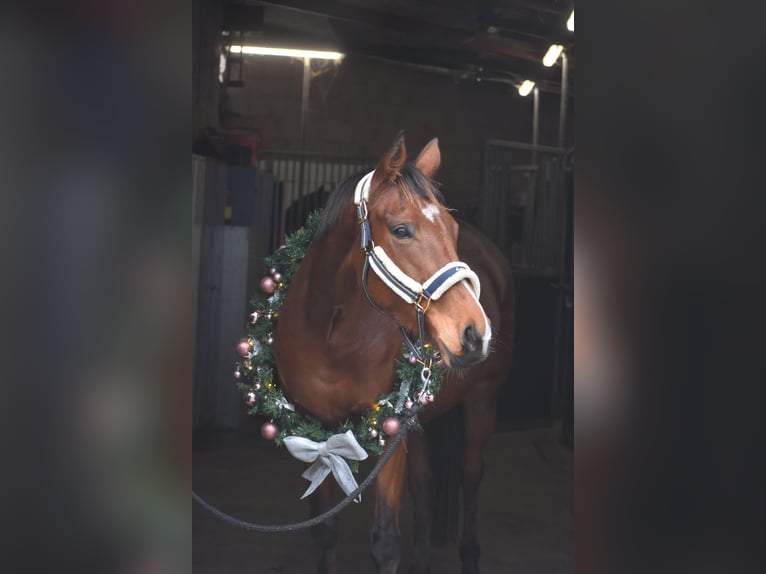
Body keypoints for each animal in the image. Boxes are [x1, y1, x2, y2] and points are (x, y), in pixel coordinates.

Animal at [272, 135, 512, 574]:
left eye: (452, 228)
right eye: (402, 230)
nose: (475, 333)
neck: (329, 337)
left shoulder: (389, 432)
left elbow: (385, 541)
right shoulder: (316, 429)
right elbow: (324, 530)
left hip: (482, 402)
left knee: (470, 475)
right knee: (424, 482)